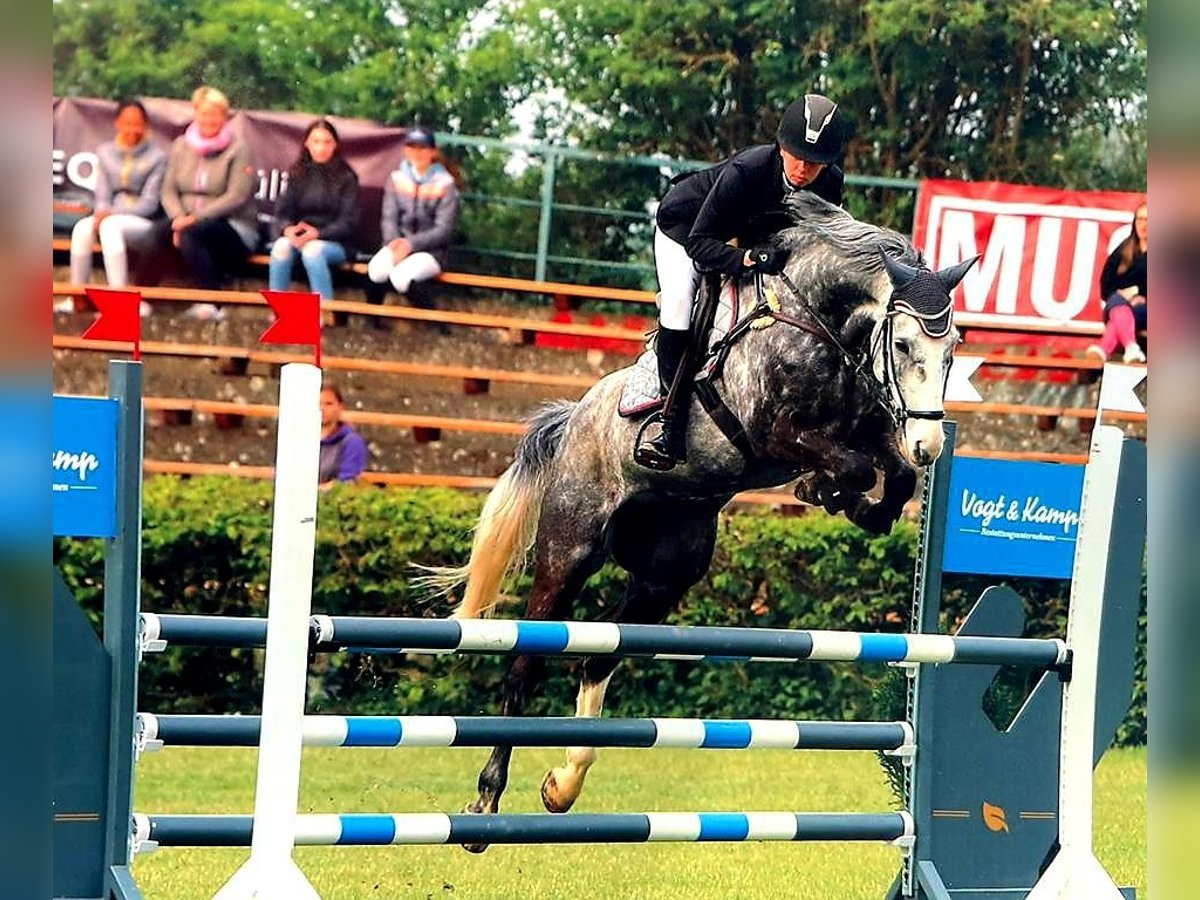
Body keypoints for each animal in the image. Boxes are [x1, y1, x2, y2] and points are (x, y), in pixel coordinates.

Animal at [429, 194, 974, 849]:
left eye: (953, 350)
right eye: (904, 347)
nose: (929, 444)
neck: (817, 321)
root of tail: (573, 419)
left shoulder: (868, 427)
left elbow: (892, 476)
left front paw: (859, 504)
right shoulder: (773, 434)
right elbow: (853, 463)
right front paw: (825, 487)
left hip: (665, 575)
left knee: (597, 656)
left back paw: (563, 786)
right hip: (570, 550)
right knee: (525, 666)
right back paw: (485, 805)